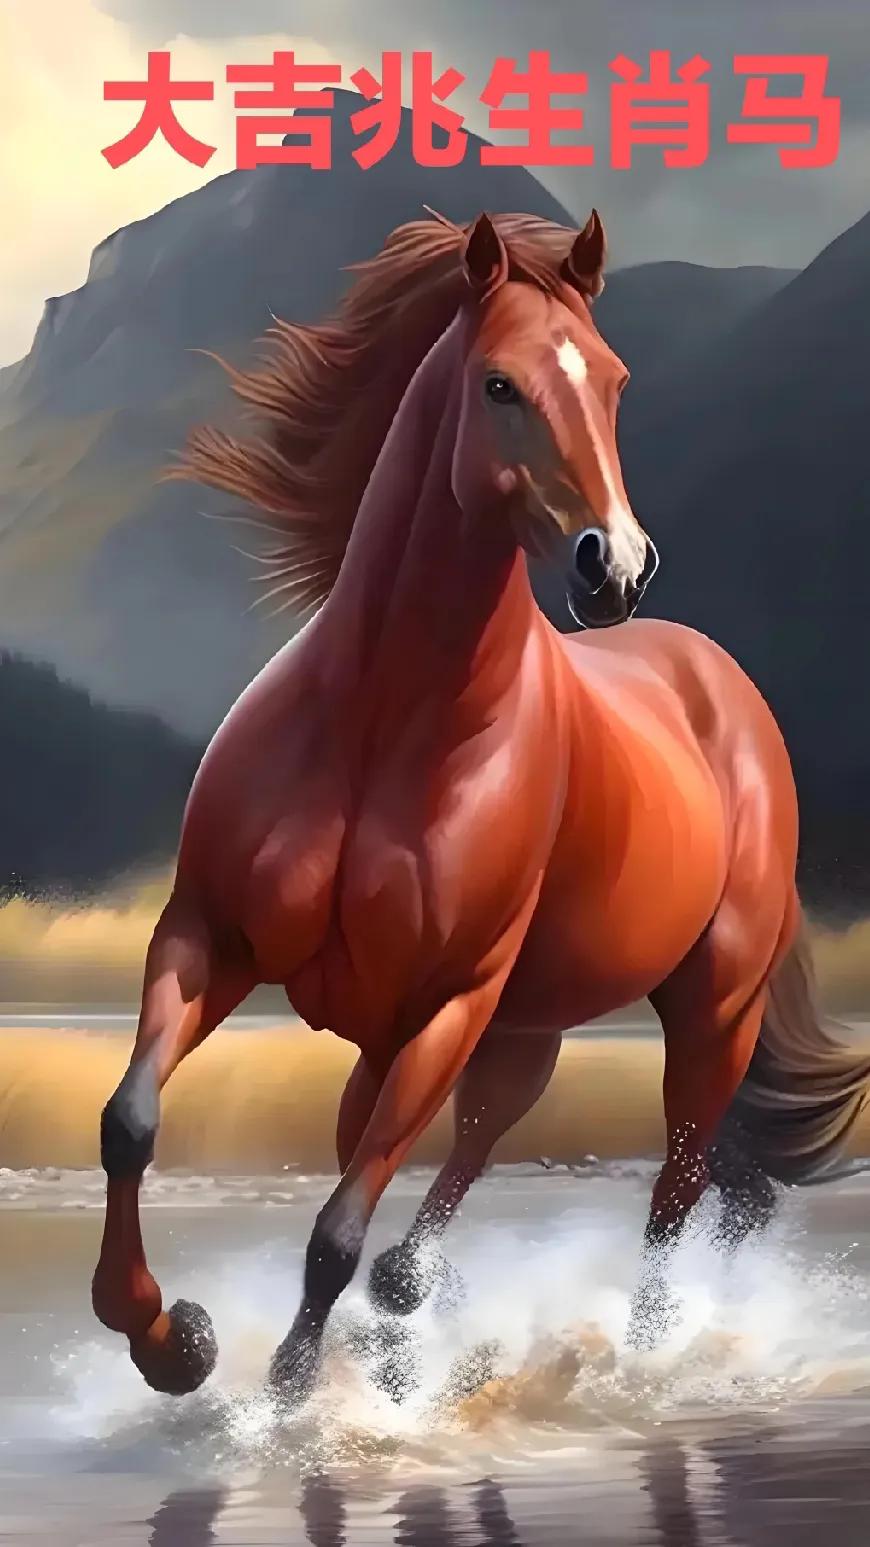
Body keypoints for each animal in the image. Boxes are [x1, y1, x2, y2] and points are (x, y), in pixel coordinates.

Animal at [91, 207, 870, 1401]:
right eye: (500, 384)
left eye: (614, 380)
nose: (616, 568)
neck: (382, 720)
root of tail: (724, 690)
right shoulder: (211, 934)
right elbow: (131, 1119)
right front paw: (168, 1337)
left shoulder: (447, 1003)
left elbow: (338, 1225)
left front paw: (284, 1396)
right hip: (520, 1027)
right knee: (469, 1153)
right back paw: (413, 1311)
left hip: (708, 1011)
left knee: (675, 1188)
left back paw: (630, 1359)